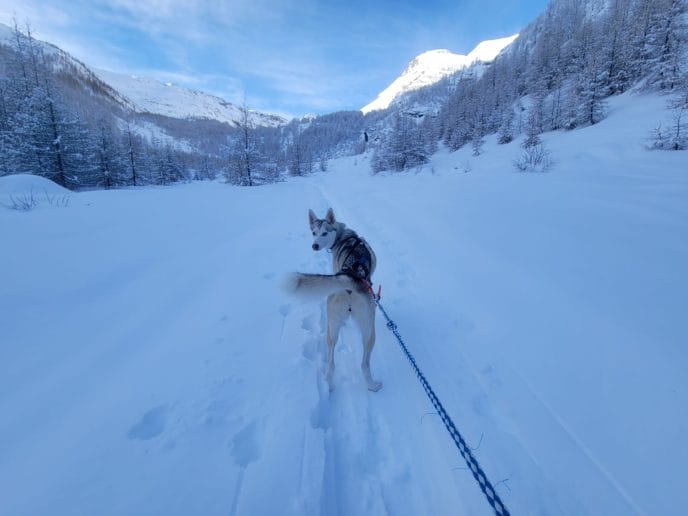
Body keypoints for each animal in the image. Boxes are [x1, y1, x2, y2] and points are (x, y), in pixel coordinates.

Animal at [284, 207, 382, 392]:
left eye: (324, 233)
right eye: (314, 233)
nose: (314, 245)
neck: (344, 236)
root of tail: (350, 280)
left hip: (337, 330)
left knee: (335, 364)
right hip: (366, 331)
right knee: (361, 364)